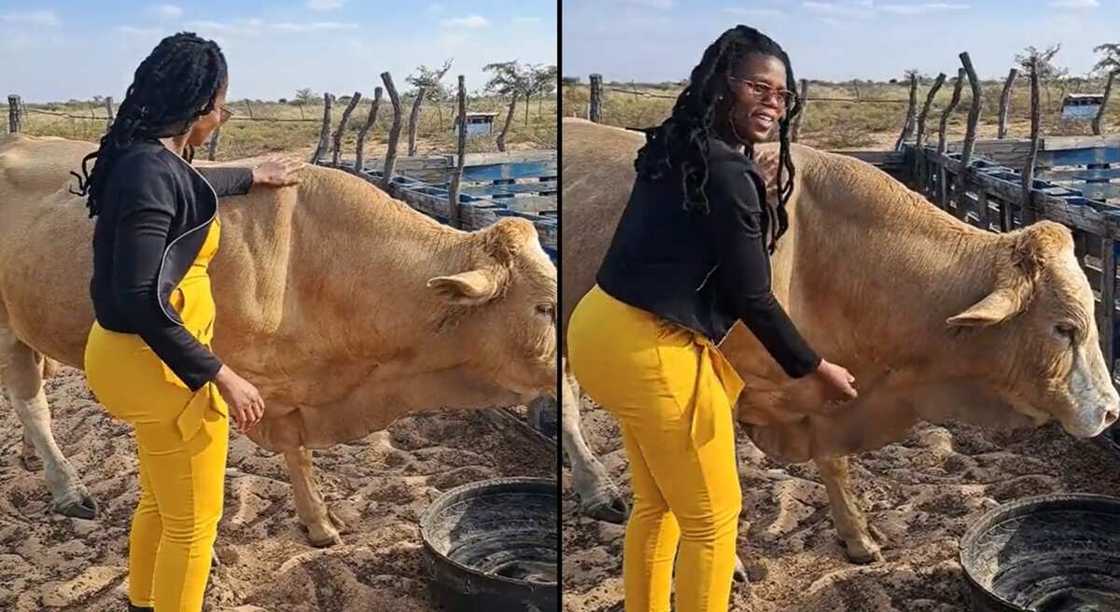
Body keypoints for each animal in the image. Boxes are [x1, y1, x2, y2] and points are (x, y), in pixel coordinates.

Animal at [0, 133, 557, 547]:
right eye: (546, 307)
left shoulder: (292, 383)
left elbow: (297, 450)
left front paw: (320, 521)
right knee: (31, 402)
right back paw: (66, 487)